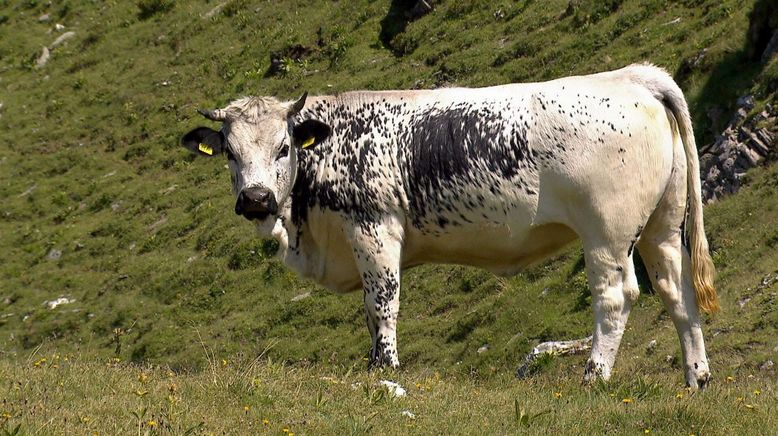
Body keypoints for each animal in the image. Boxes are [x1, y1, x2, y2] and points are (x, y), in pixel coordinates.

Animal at [180, 63, 716, 388]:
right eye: (230, 152)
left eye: (284, 147)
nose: (255, 199)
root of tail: (631, 77)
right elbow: (371, 310)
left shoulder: (374, 227)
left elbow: (382, 303)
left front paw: (385, 368)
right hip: (662, 226)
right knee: (677, 292)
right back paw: (697, 378)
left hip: (607, 232)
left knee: (616, 296)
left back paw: (593, 377)